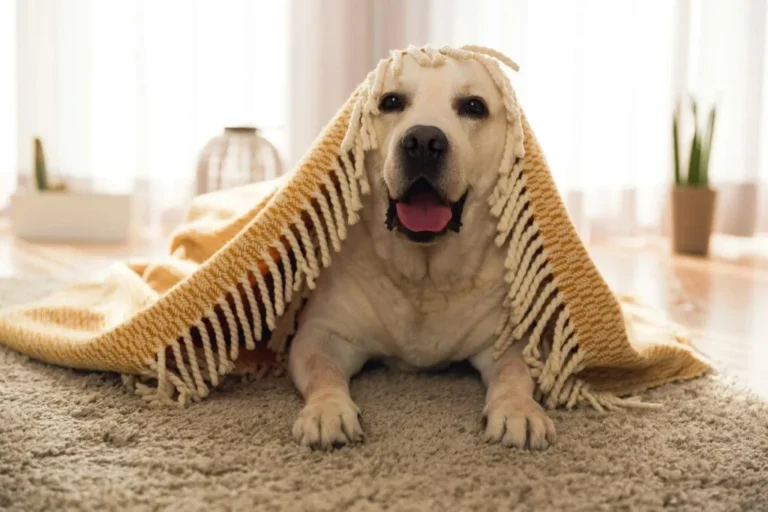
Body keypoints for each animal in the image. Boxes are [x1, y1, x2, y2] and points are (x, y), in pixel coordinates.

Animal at [284, 53, 556, 452]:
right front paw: (327, 411)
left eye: (474, 107)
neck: (424, 278)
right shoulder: (323, 333)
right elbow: (323, 370)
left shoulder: (507, 341)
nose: (424, 141)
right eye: (390, 102)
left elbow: (515, 372)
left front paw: (519, 411)